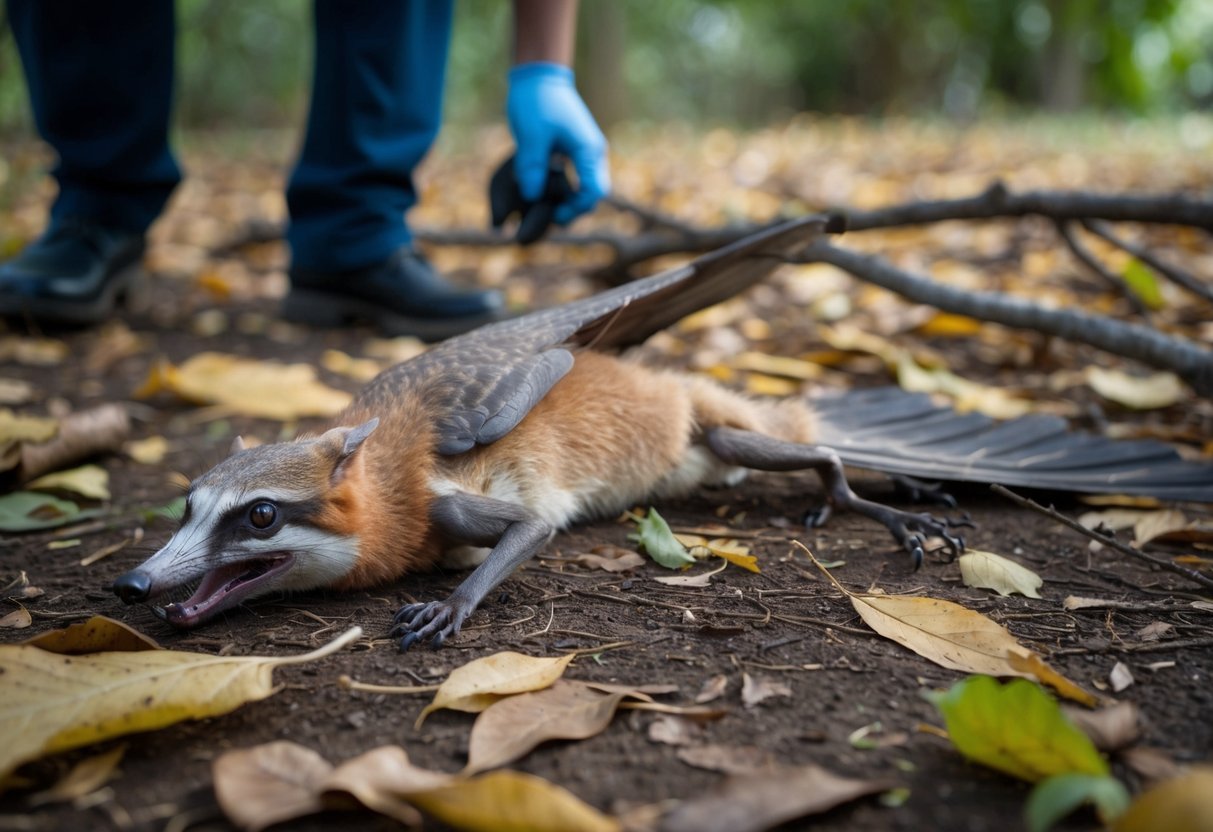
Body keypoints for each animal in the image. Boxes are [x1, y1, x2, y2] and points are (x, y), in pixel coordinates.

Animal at [112, 215, 1213, 648]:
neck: (388, 472)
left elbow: (525, 536)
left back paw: (866, 497)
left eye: (259, 517)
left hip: (716, 437)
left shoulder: (462, 496)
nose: (133, 583)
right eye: (186, 504)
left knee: (812, 452)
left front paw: (454, 604)